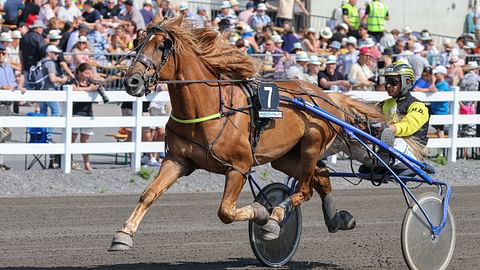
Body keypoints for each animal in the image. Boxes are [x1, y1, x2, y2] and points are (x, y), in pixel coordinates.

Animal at [108, 15, 382, 251]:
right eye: (139, 43)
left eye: (161, 46)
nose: (131, 81)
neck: (208, 108)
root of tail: (325, 95)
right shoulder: (177, 160)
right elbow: (149, 194)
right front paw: (123, 235)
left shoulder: (238, 167)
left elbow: (226, 212)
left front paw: (261, 213)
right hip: (285, 156)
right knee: (321, 176)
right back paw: (337, 219)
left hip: (311, 145)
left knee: (305, 189)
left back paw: (276, 218)